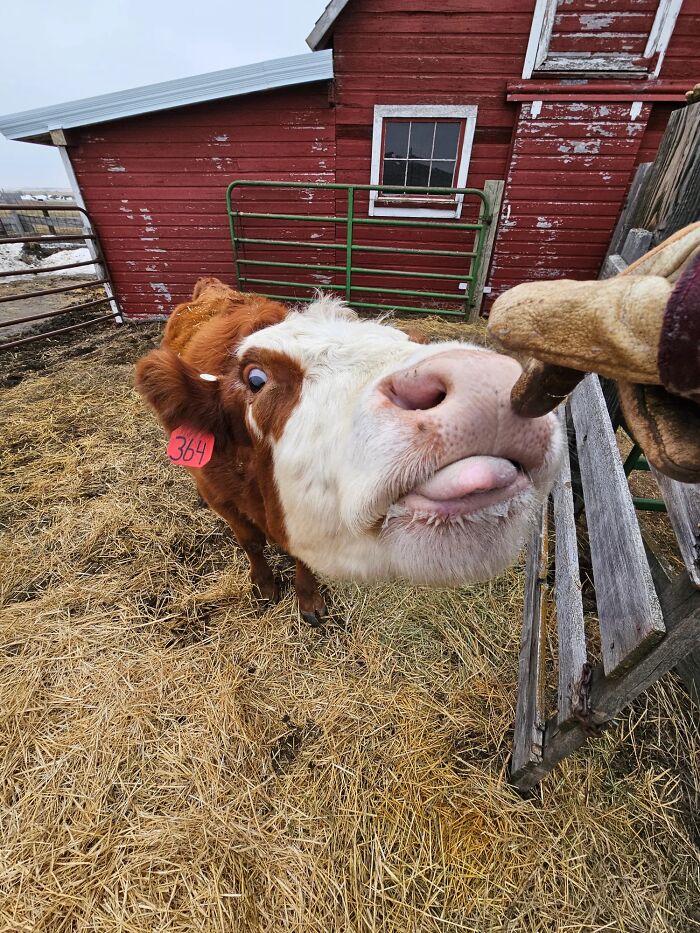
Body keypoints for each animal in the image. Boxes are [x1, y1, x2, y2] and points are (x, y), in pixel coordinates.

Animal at [135, 279, 562, 626]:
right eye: (256, 378)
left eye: (409, 344)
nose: (483, 382)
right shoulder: (220, 496)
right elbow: (251, 542)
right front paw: (264, 586)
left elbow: (301, 556)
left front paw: (308, 598)